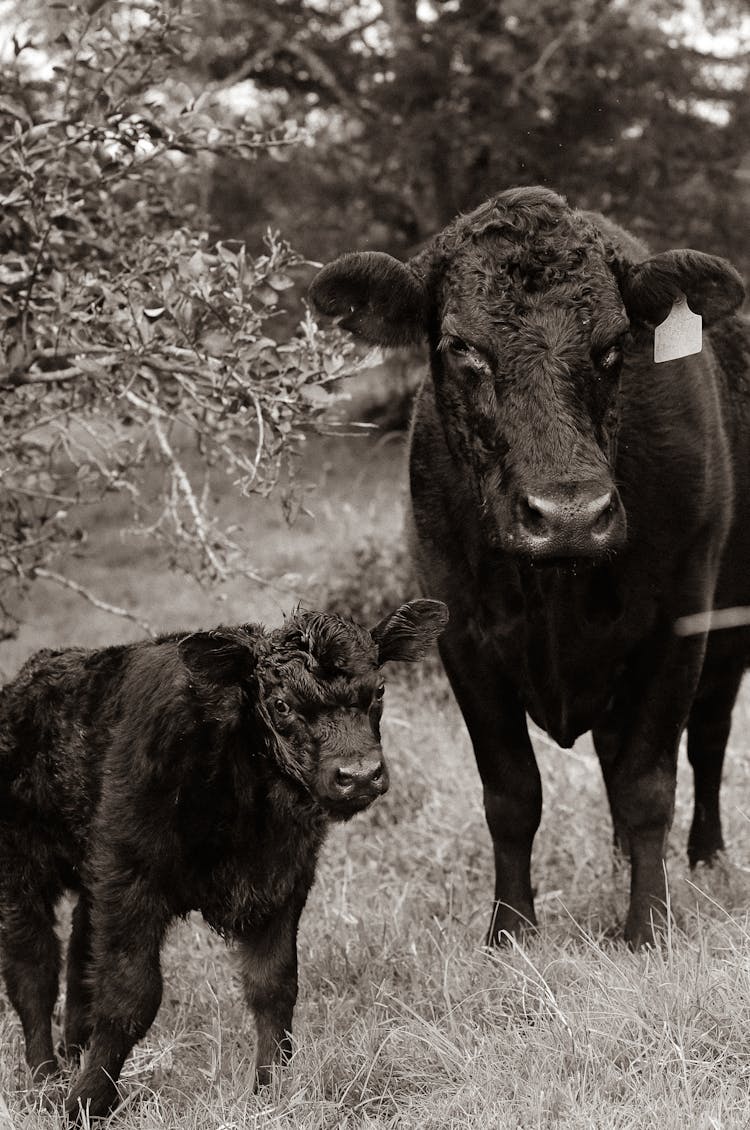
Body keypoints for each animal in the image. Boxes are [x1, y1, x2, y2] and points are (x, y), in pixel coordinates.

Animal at [307, 185, 745, 944]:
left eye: (614, 345)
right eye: (462, 348)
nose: (568, 514)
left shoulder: (681, 618)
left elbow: (650, 784)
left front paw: (648, 925)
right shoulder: (461, 633)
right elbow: (512, 793)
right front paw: (510, 930)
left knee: (709, 737)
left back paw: (705, 858)